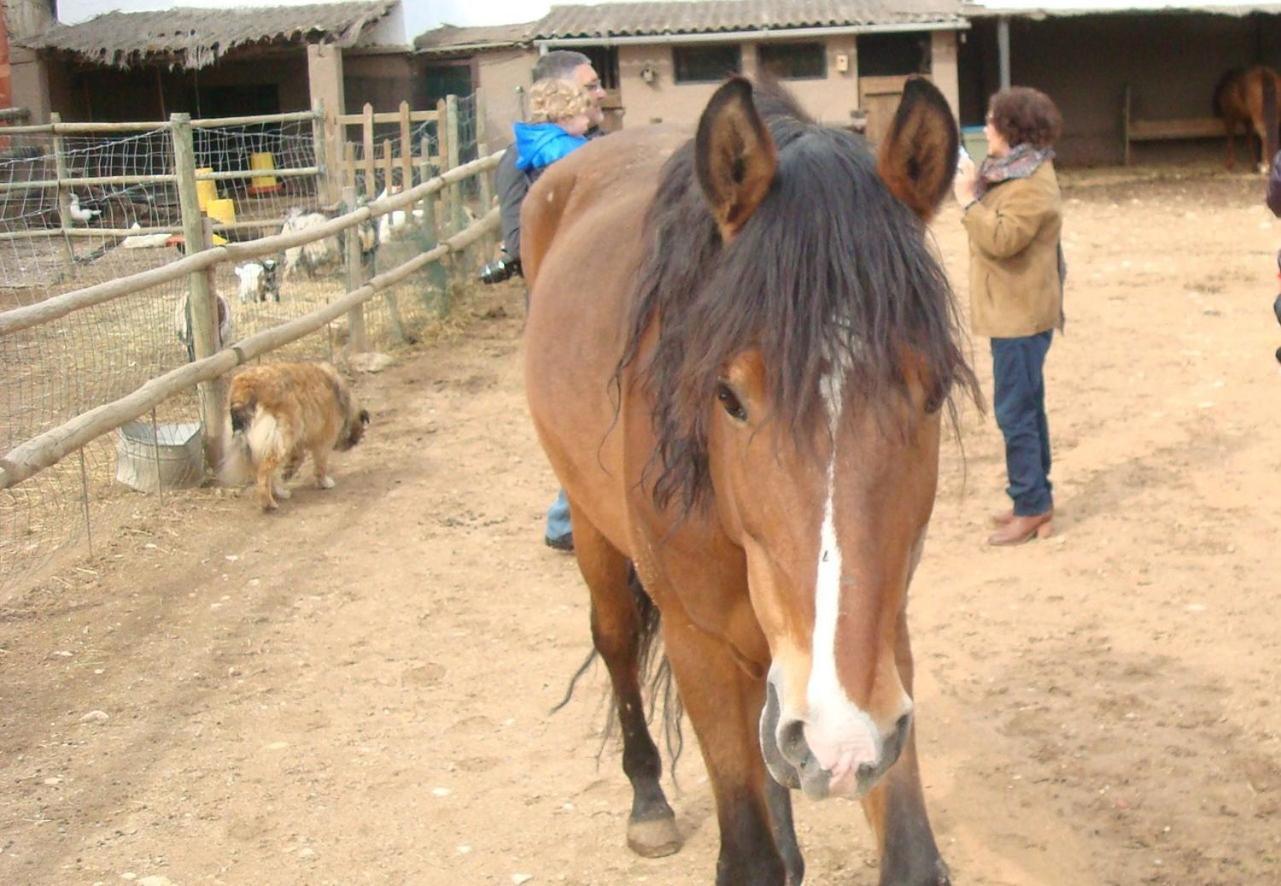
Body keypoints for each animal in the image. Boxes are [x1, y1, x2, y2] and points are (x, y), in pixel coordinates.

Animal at [220, 361, 368, 512]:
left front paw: (286, 475)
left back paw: (279, 492)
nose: (353, 443)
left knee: (266, 472)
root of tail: (245, 386)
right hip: (284, 439)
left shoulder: (298, 443)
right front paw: (324, 482)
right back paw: (268, 503)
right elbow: (320, 465)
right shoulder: (323, 441)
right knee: (264, 473)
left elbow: (297, 460)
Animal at [525, 77, 973, 886]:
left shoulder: (880, 650)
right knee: (614, 640)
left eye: (932, 394)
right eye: (728, 397)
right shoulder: (697, 641)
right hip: (589, 523)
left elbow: (910, 856)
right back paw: (648, 802)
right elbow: (751, 854)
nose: (837, 743)